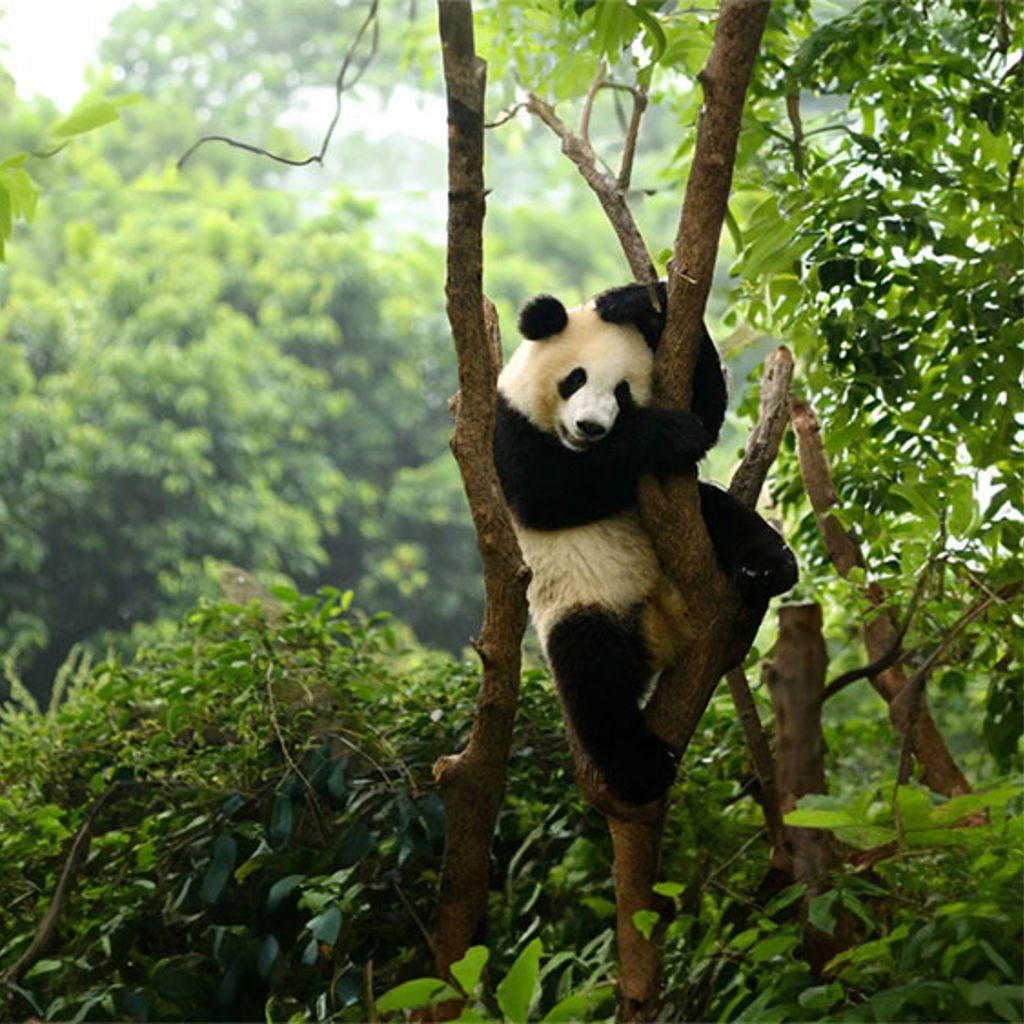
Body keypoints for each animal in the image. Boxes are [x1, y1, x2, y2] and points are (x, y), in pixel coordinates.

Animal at [494, 281, 797, 804]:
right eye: (574, 379)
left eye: (623, 392)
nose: (591, 427)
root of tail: (665, 628)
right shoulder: (506, 424)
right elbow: (546, 492)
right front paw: (667, 433)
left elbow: (706, 406)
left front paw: (637, 302)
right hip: (584, 601)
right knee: (593, 677)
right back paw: (642, 771)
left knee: (718, 510)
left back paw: (767, 569)